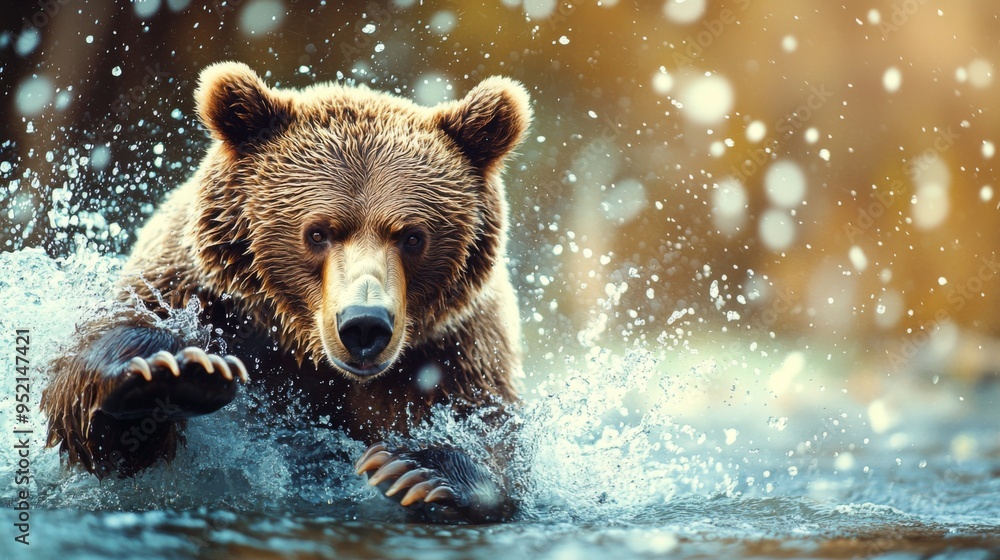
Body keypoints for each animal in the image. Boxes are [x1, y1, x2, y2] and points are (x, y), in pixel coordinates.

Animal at [40, 62, 532, 523]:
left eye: (412, 237)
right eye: (317, 232)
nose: (364, 325)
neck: (302, 342)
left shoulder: (457, 345)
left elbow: (491, 426)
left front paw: (420, 470)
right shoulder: (195, 290)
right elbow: (91, 403)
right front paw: (173, 373)